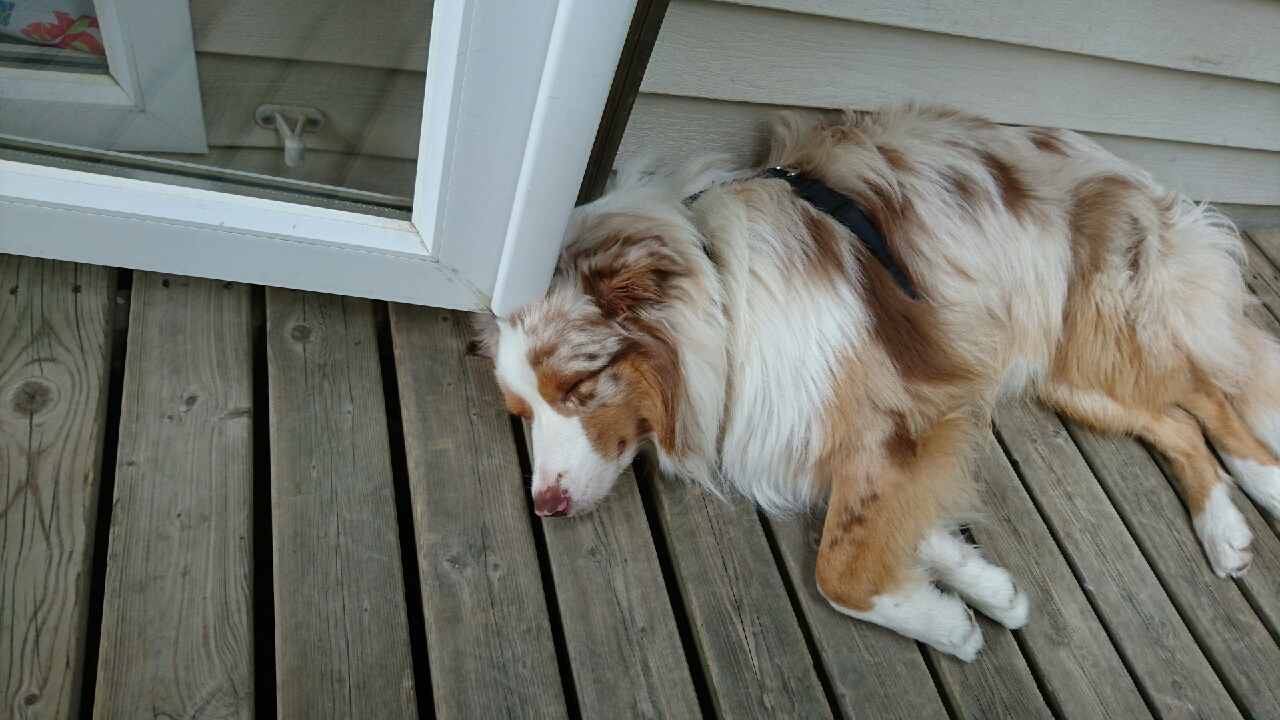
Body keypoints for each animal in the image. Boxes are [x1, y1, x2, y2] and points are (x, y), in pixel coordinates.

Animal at [466, 105, 1280, 660]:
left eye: (579, 387)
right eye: (521, 411)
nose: (544, 505)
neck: (724, 292)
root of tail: (1121, 162)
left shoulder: (898, 406)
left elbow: (840, 569)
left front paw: (949, 626)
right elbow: (903, 526)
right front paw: (984, 587)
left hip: (1113, 324)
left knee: (1212, 386)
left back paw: (1263, 483)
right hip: (1065, 375)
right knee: (1175, 420)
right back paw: (1227, 531)